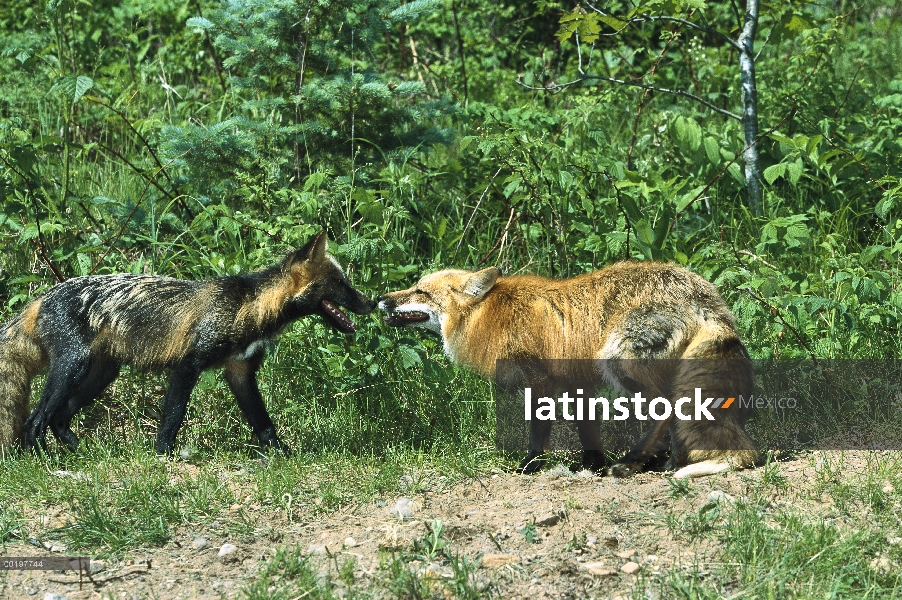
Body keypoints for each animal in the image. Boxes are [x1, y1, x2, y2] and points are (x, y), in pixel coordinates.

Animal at [0, 231, 374, 454]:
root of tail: (41, 297)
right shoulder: (188, 364)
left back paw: (84, 456)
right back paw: (45, 462)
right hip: (72, 368)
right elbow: (174, 415)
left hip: (100, 375)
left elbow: (264, 424)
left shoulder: (240, 372)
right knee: (35, 421)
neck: (249, 308)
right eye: (342, 283)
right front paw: (163, 454)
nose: (372, 303)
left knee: (59, 419)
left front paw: (283, 454)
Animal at [378, 262, 760, 478]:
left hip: (618, 363)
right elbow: (588, 429)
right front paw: (593, 465)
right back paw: (660, 462)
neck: (490, 314)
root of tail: (702, 293)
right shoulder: (577, 384)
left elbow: (537, 435)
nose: (380, 299)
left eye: (420, 291)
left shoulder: (540, 380)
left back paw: (634, 463)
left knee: (664, 410)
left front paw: (528, 468)